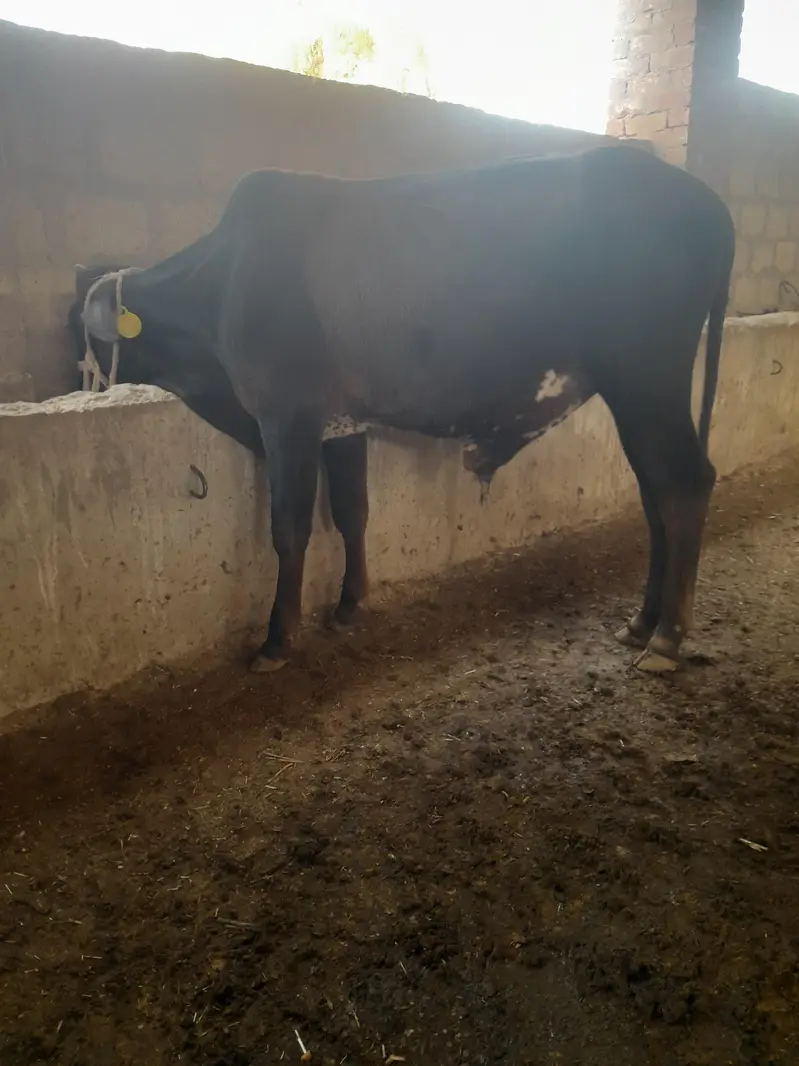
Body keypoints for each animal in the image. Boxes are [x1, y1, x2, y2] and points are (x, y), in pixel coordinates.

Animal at [79, 143, 735, 676]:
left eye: (78, 332)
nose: (78, 385)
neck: (220, 283)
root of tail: (704, 200)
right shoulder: (342, 424)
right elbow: (352, 511)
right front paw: (349, 605)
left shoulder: (286, 417)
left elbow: (289, 529)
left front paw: (276, 640)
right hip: (639, 394)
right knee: (656, 494)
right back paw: (641, 623)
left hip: (648, 379)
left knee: (685, 484)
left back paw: (667, 639)